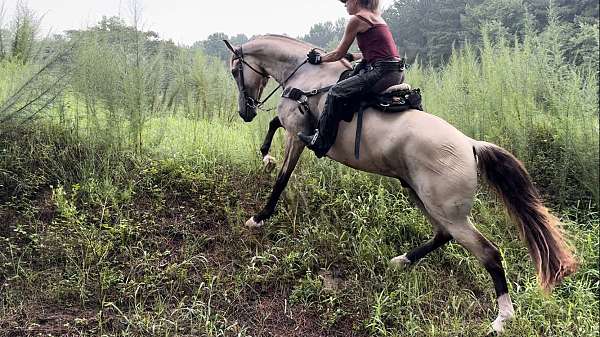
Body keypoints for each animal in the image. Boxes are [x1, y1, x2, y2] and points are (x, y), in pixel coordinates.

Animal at [225, 34, 576, 334]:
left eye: (234, 71)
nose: (245, 112)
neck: (309, 77)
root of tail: (470, 145)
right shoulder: (292, 127)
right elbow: (274, 125)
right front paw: (265, 156)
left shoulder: (297, 132)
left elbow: (282, 177)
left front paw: (260, 215)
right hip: (421, 194)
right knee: (443, 234)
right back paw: (402, 261)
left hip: (449, 211)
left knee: (489, 253)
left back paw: (503, 318)